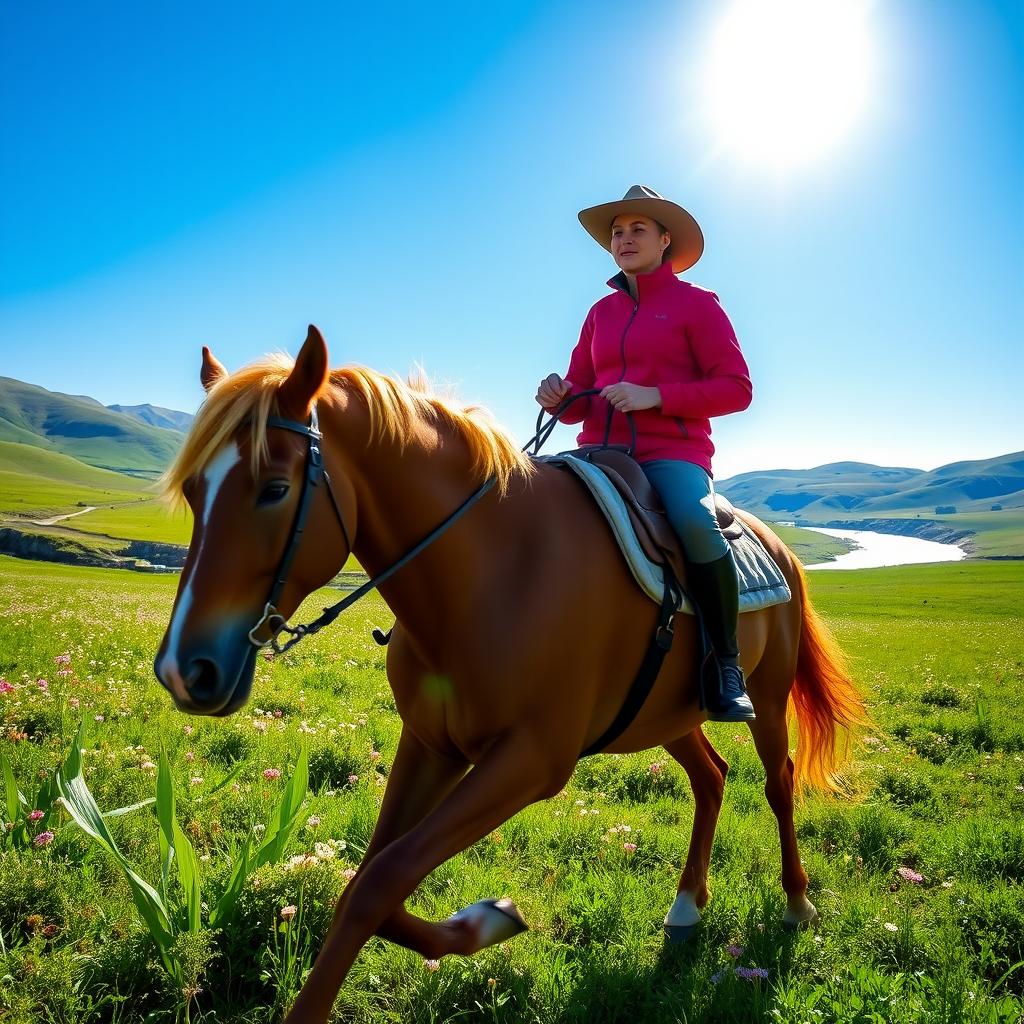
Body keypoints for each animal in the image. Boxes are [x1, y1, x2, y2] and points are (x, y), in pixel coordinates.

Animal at [154, 325, 865, 1024]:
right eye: (193, 491)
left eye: (274, 488)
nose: (185, 671)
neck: (492, 571)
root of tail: (779, 546)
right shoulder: (432, 746)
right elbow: (368, 881)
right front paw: (485, 920)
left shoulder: (529, 762)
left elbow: (381, 881)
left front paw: (487, 922)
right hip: (664, 715)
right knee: (711, 778)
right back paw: (688, 904)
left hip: (766, 698)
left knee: (778, 781)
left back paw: (797, 903)